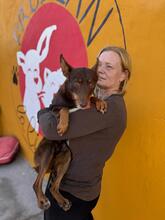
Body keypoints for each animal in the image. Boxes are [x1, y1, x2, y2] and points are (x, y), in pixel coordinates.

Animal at [32, 54, 107, 211]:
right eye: (77, 83)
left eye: (91, 84)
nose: (83, 105)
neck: (74, 101)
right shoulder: (53, 109)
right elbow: (64, 109)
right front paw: (62, 125)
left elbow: (92, 97)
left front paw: (100, 102)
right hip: (47, 151)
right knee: (36, 184)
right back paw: (42, 201)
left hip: (66, 156)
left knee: (53, 187)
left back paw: (62, 201)